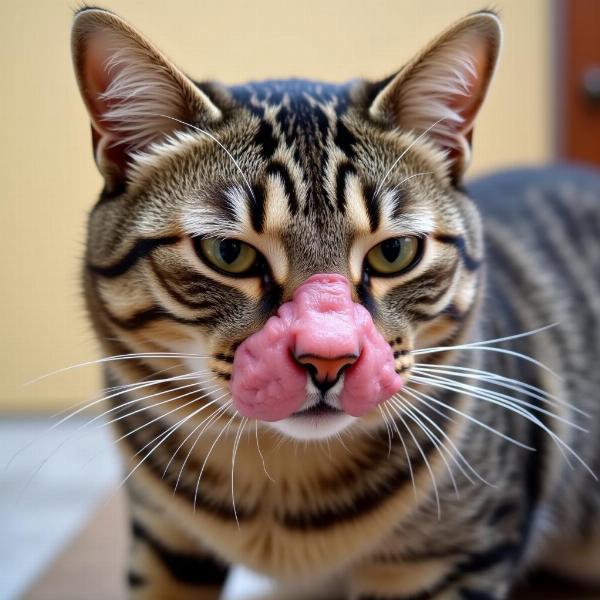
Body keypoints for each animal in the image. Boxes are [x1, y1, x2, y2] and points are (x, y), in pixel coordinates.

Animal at [71, 5, 600, 600]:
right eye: (228, 253)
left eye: (394, 252)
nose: (329, 357)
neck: (282, 488)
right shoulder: (162, 540)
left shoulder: (453, 561)